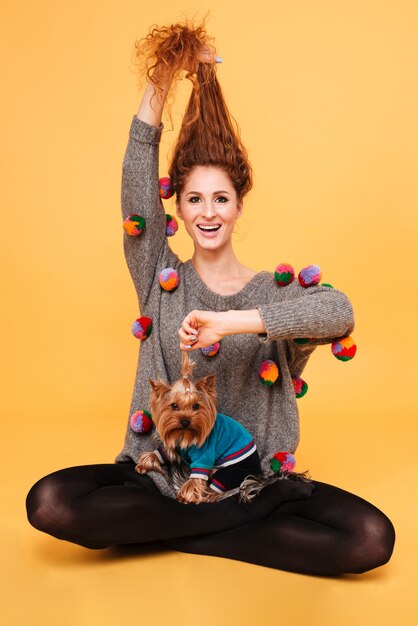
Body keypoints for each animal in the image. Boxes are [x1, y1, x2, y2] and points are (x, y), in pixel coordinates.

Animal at [136, 352, 262, 502]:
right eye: (174, 406)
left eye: (196, 406)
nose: (185, 421)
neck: (185, 434)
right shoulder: (174, 444)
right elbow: (163, 452)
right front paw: (146, 462)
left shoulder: (205, 453)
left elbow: (197, 475)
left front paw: (185, 496)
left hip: (234, 470)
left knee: (214, 489)